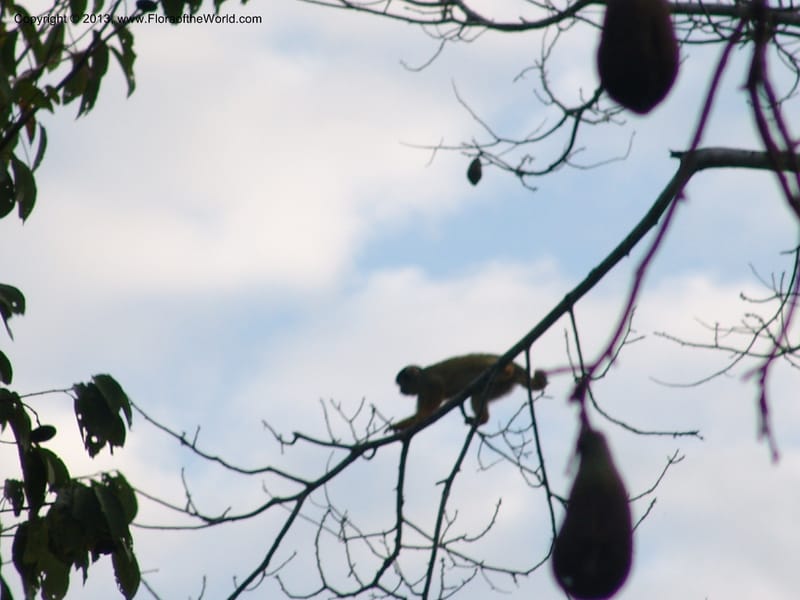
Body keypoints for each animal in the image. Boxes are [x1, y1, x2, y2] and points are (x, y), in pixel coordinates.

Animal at [390, 353, 548, 432]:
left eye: (402, 384)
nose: (400, 391)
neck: (421, 378)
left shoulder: (428, 381)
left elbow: (437, 390)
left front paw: (421, 417)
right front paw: (400, 426)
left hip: (496, 369)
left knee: (487, 363)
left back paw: (506, 368)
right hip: (501, 387)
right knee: (478, 396)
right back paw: (482, 419)